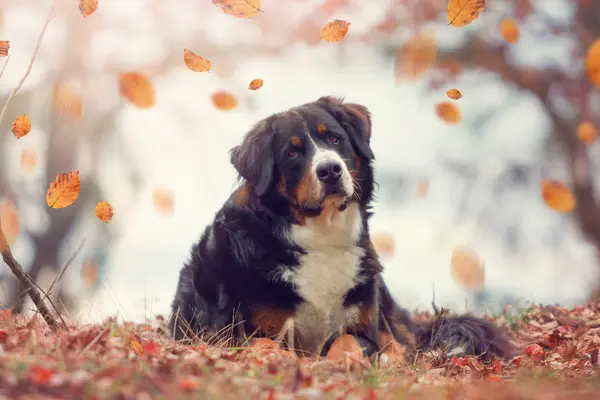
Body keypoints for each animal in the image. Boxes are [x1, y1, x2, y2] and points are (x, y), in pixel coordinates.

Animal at [169, 95, 516, 360]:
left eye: (334, 138)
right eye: (292, 151)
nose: (330, 170)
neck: (321, 234)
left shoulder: (363, 326)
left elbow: (349, 341)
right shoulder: (235, 333)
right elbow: (266, 345)